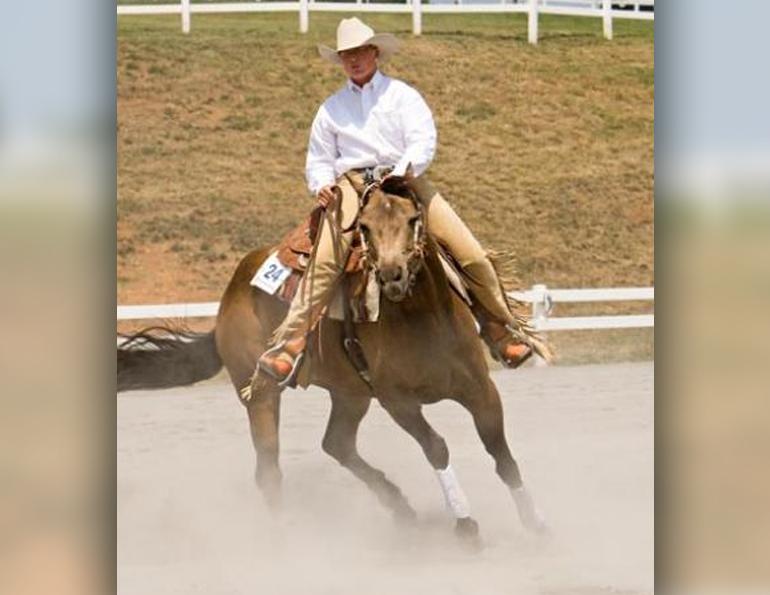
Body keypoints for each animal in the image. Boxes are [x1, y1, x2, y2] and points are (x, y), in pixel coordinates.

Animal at [117, 173, 547, 539]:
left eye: (413, 219)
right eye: (365, 227)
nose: (391, 275)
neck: (421, 318)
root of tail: (228, 296)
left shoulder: (480, 390)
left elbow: (500, 453)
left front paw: (535, 523)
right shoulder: (398, 401)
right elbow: (436, 448)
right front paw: (466, 525)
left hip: (350, 393)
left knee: (336, 443)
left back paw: (401, 509)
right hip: (260, 393)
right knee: (269, 471)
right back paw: (284, 537)